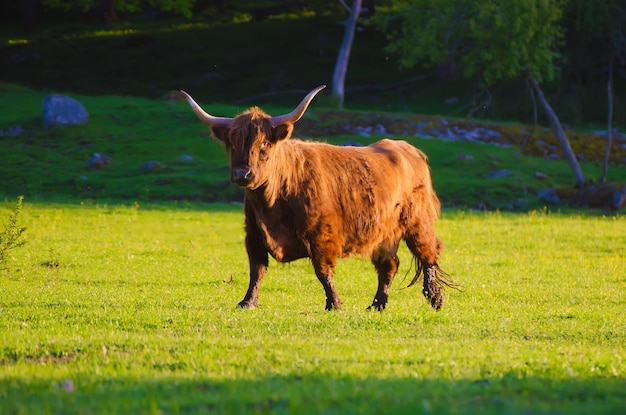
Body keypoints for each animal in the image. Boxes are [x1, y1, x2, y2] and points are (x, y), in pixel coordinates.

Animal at [179, 85, 454, 312]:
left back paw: (435, 298)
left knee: (428, 254)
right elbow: (256, 270)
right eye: (232, 145)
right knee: (389, 264)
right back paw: (377, 305)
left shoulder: (322, 235)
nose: (242, 174)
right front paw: (247, 302)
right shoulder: (254, 234)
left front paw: (334, 305)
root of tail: (407, 149)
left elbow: (323, 271)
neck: (272, 205)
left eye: (264, 145)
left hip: (417, 222)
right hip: (385, 232)